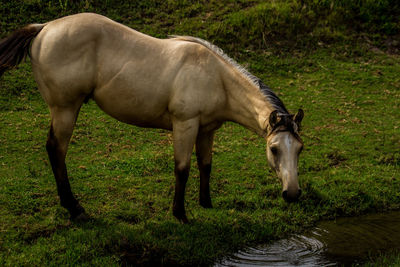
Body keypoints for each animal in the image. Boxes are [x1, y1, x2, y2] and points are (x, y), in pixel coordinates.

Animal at [0, 13, 304, 224]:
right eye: (274, 149)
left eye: (299, 149)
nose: (292, 194)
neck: (215, 77)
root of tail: (44, 27)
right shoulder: (185, 125)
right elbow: (182, 168)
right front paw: (180, 214)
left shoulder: (207, 129)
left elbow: (205, 165)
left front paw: (206, 203)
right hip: (65, 109)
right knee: (56, 150)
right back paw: (75, 209)